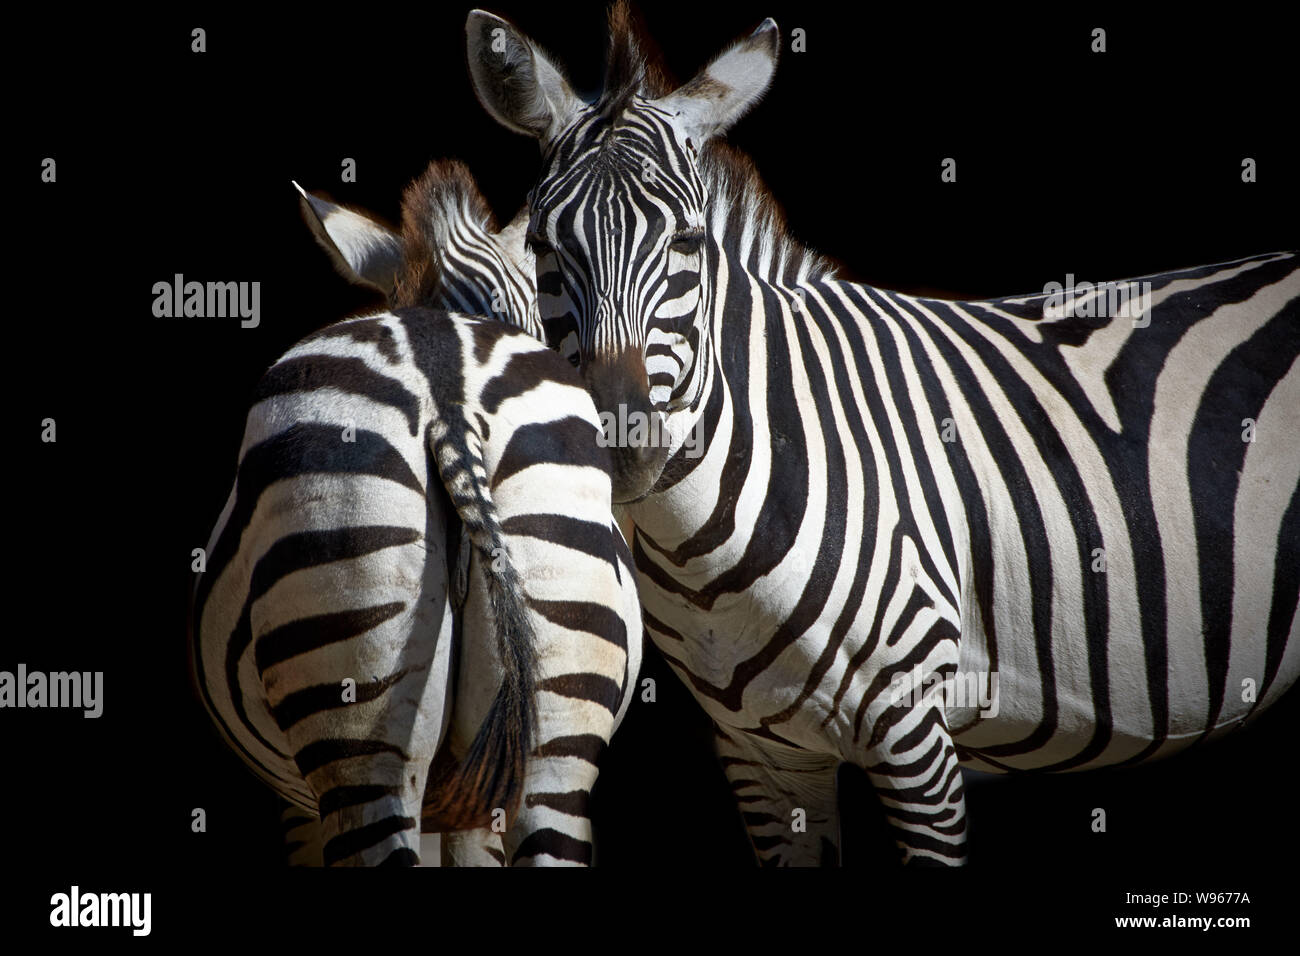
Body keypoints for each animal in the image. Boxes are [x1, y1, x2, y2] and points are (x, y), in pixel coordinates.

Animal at [463, 3, 1300, 865]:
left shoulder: (914, 736)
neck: (708, 557)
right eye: (542, 248)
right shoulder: (763, 757)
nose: (619, 445)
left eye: (689, 243)